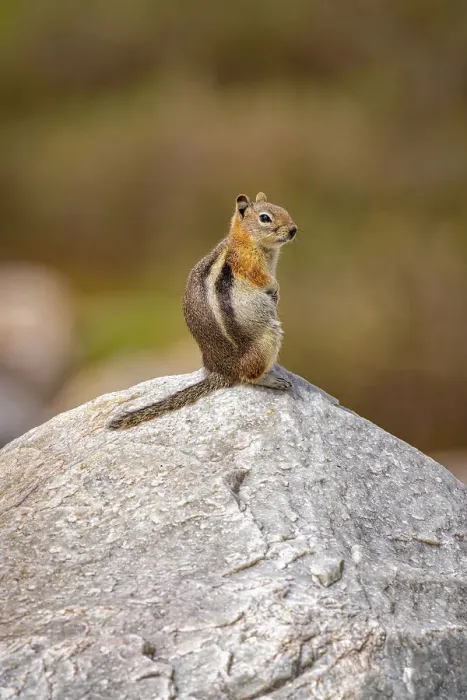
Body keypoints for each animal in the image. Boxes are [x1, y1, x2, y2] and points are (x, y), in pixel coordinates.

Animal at [108, 192, 297, 429]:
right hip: (268, 338)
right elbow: (264, 280)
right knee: (250, 376)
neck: (244, 240)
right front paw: (275, 289)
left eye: (284, 209)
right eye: (265, 218)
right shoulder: (250, 265)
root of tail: (223, 372)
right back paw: (272, 380)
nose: (293, 229)